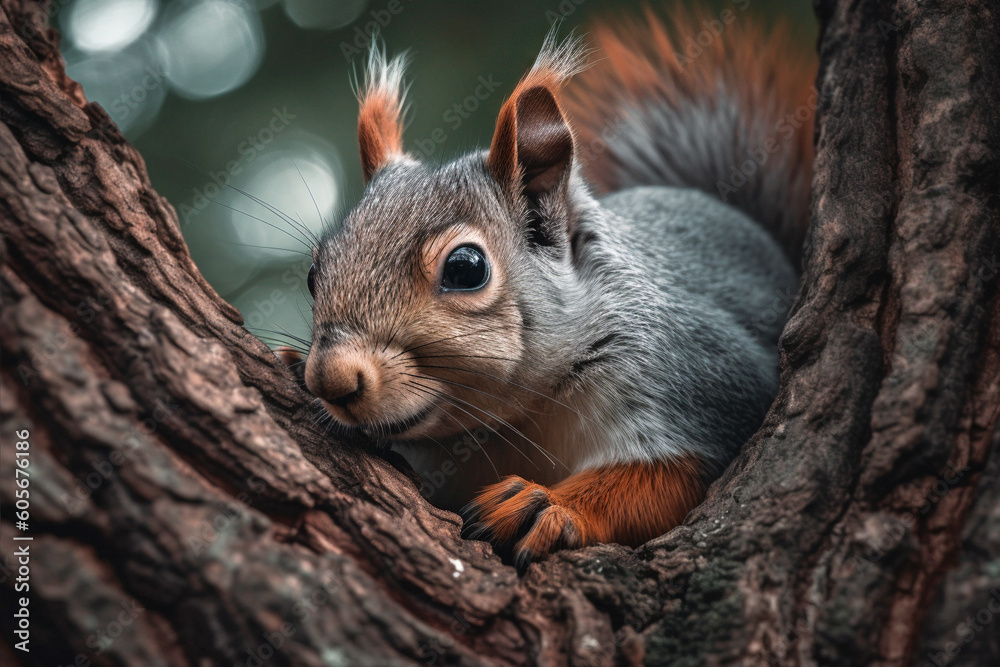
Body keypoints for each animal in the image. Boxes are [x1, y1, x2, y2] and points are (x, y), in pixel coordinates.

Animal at [279, 8, 815, 565]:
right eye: (314, 274)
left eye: (466, 269)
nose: (330, 379)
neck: (512, 423)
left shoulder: (700, 384)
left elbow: (664, 479)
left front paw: (545, 504)